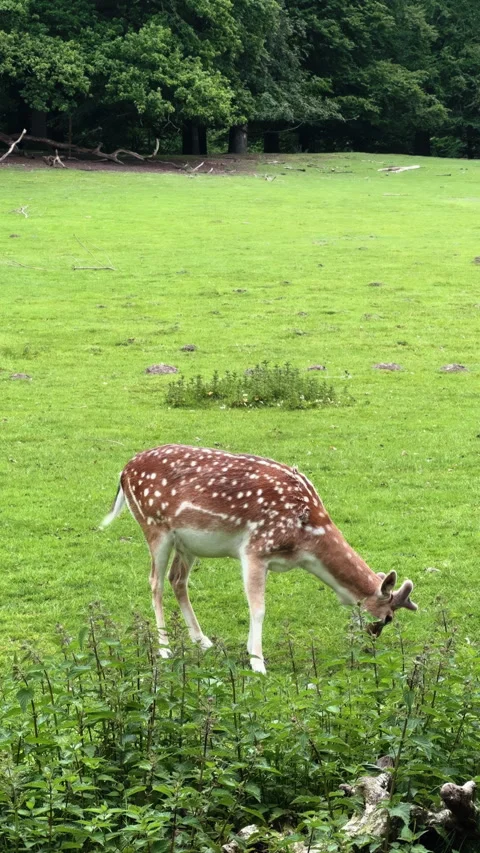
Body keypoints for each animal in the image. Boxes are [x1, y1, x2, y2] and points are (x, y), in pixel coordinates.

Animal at [101, 444, 417, 673]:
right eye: (388, 617)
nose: (371, 640)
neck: (305, 542)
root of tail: (123, 472)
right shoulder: (255, 548)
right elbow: (259, 609)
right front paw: (257, 663)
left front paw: (250, 653)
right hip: (154, 526)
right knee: (155, 582)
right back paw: (165, 648)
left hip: (186, 544)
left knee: (177, 579)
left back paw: (203, 641)